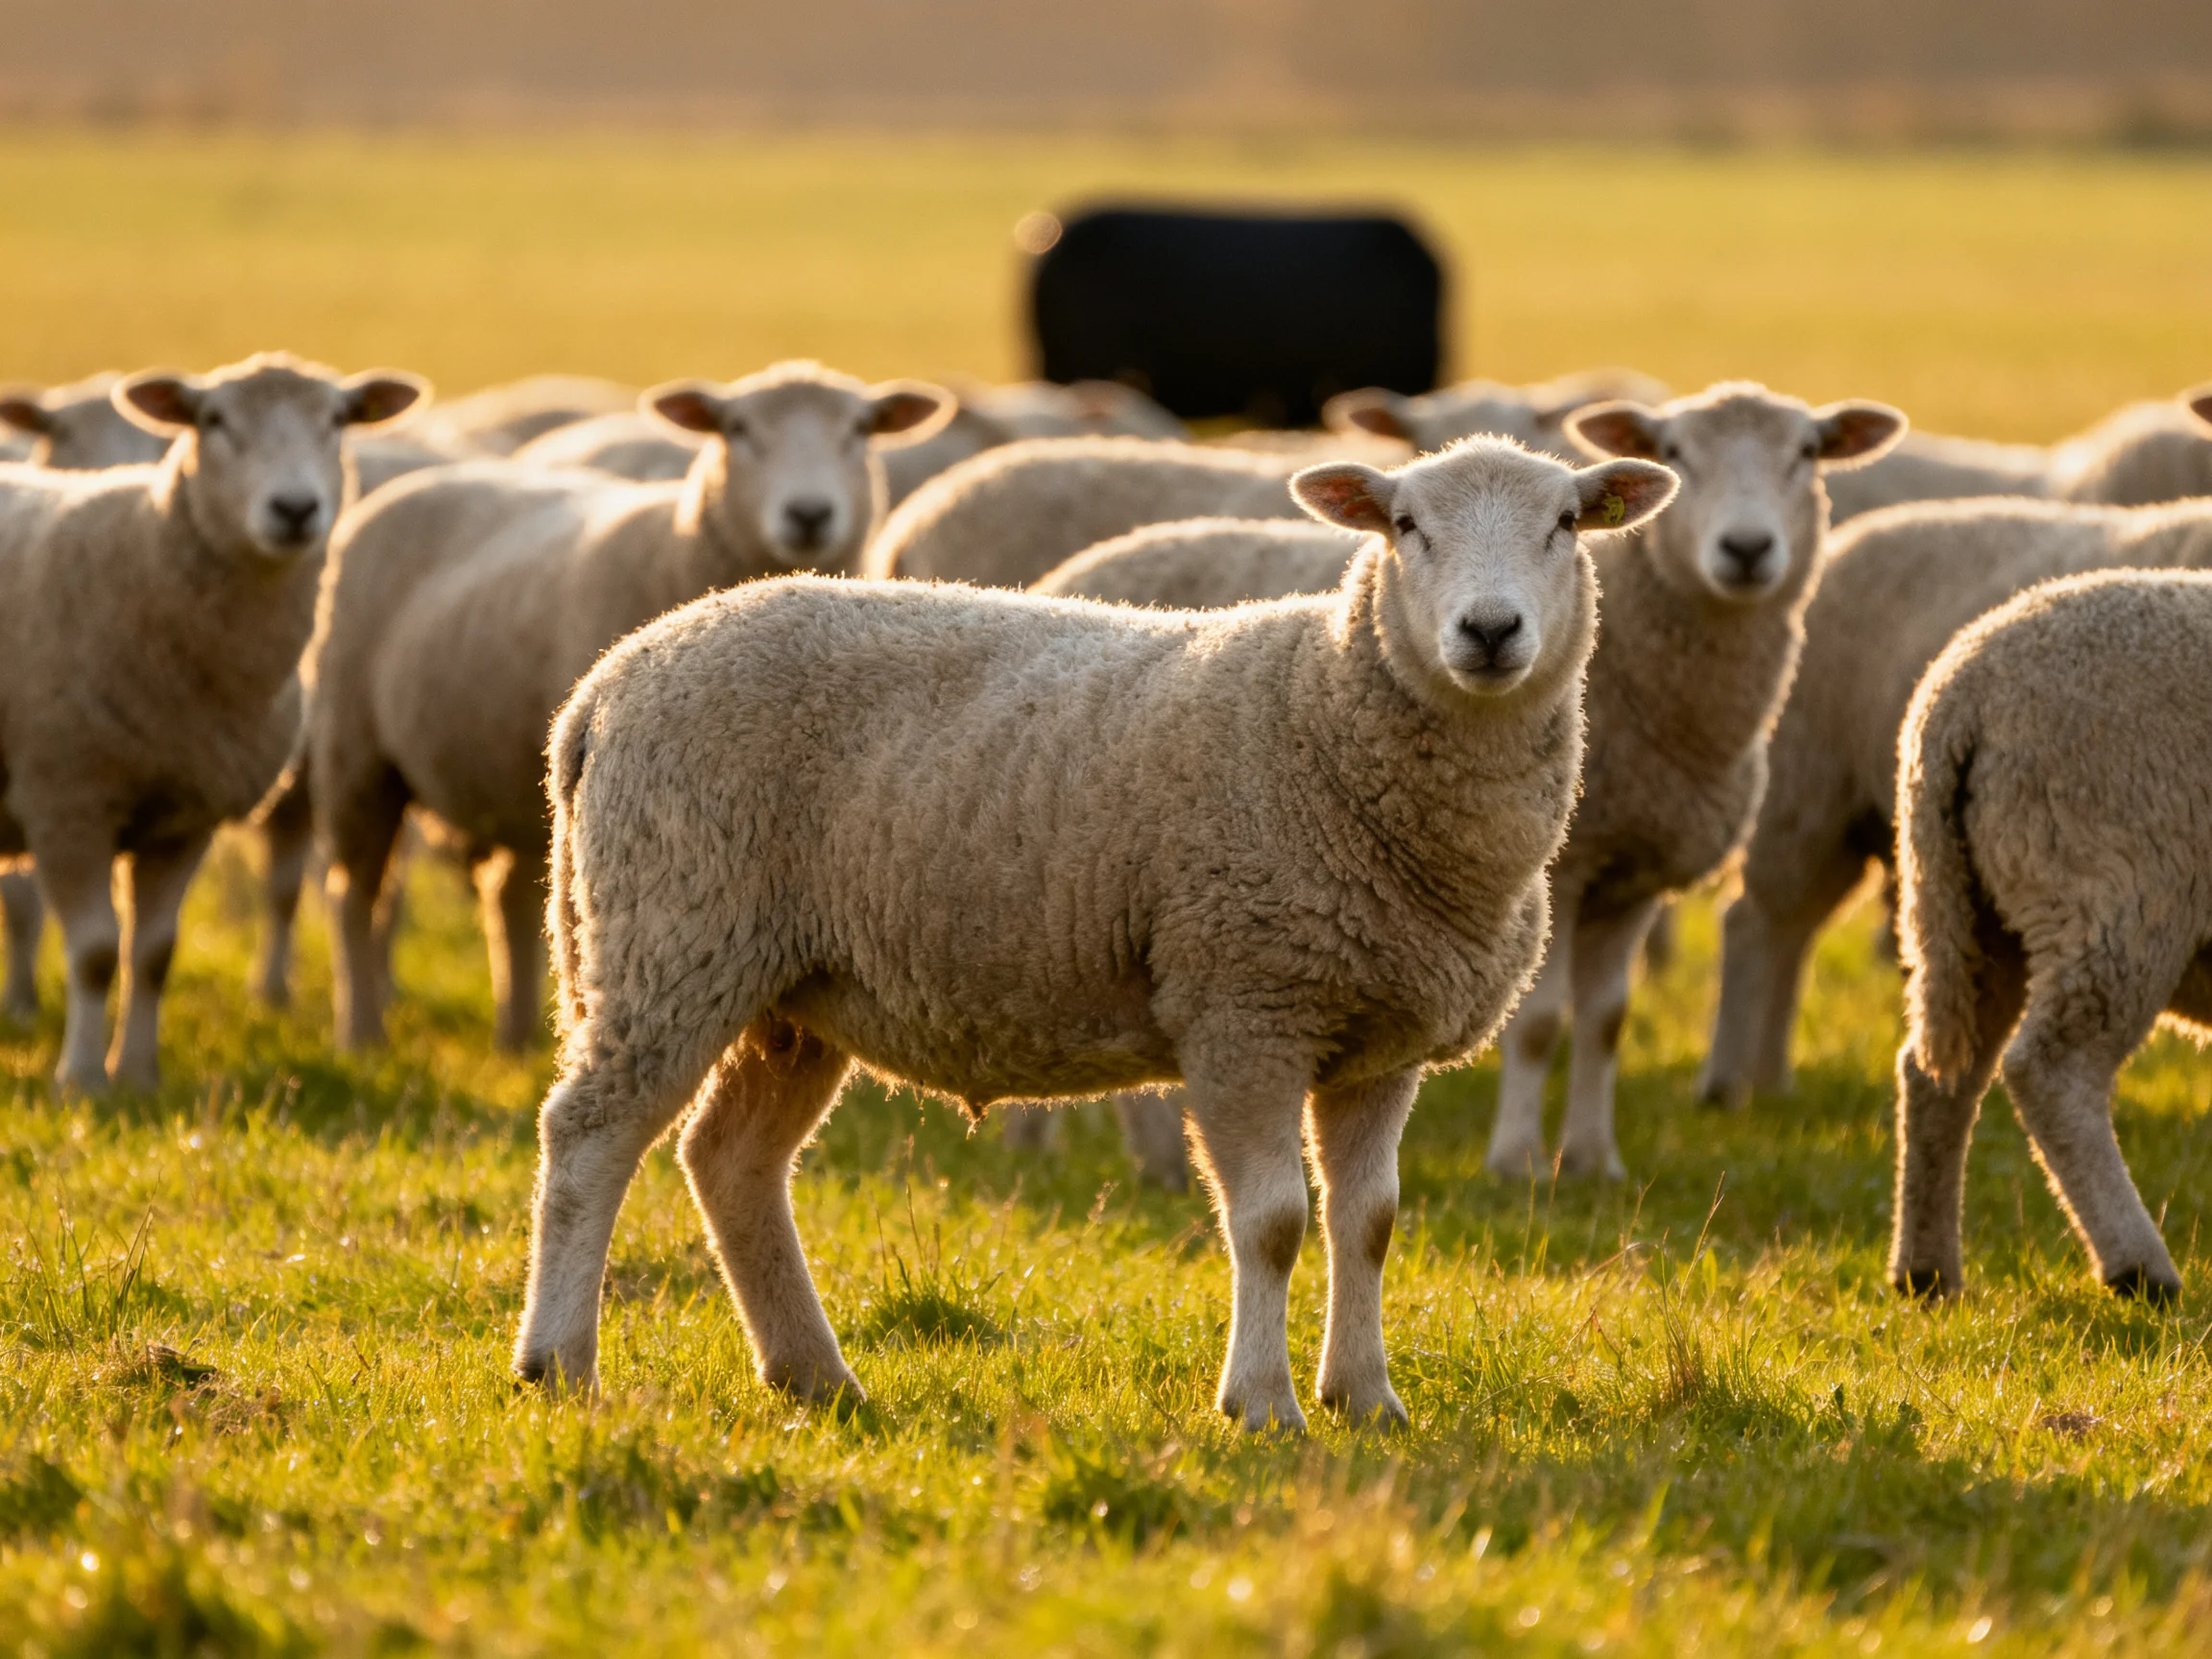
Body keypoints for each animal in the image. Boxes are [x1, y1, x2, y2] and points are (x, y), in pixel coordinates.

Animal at [0, 353, 425, 1093]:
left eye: (338, 419)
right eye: (213, 419)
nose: (295, 509)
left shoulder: (185, 815)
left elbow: (153, 953)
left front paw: (138, 1076)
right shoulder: (66, 799)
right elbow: (93, 953)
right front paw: (81, 1080)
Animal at [307, 360, 948, 1053]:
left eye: (860, 428)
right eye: (737, 428)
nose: (808, 513)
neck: (678, 546)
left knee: (509, 896)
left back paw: (516, 1035)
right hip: (357, 753)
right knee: (357, 893)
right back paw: (362, 1031)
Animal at [510, 436, 1679, 1427]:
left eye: (1566, 524)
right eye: (1404, 525)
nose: (1489, 631)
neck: (1325, 715)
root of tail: (605, 685)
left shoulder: (1376, 1036)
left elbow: (1370, 1221)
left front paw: (1365, 1399)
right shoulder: (1243, 1007)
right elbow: (1272, 1223)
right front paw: (1262, 1405)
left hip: (790, 986)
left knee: (731, 1162)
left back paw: (814, 1375)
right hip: (673, 934)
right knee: (589, 1135)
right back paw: (558, 1365)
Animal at [1700, 491, 2212, 1111]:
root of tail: (1957, 692)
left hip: (1945, 883)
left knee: (1808, 945)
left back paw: (1773, 1083)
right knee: (1758, 923)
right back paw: (1729, 1085)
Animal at [1888, 569, 2212, 1304]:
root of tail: (1960, 694)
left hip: (1971, 908)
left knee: (1937, 1075)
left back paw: (1925, 1272)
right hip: (2116, 885)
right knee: (2050, 1070)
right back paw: (2139, 1269)